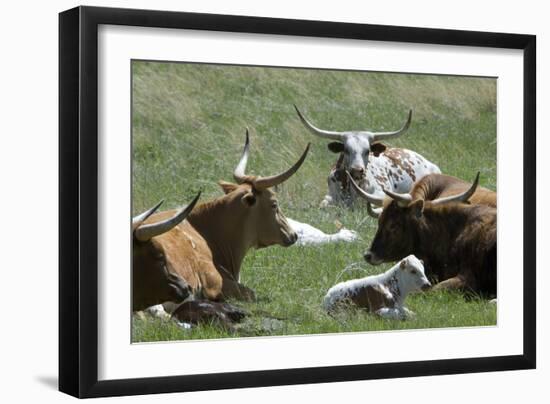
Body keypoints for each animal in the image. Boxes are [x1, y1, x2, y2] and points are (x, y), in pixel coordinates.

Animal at [296, 105, 442, 208]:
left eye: (367, 151)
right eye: (346, 150)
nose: (357, 170)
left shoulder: (380, 192)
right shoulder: (330, 196)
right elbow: (324, 205)